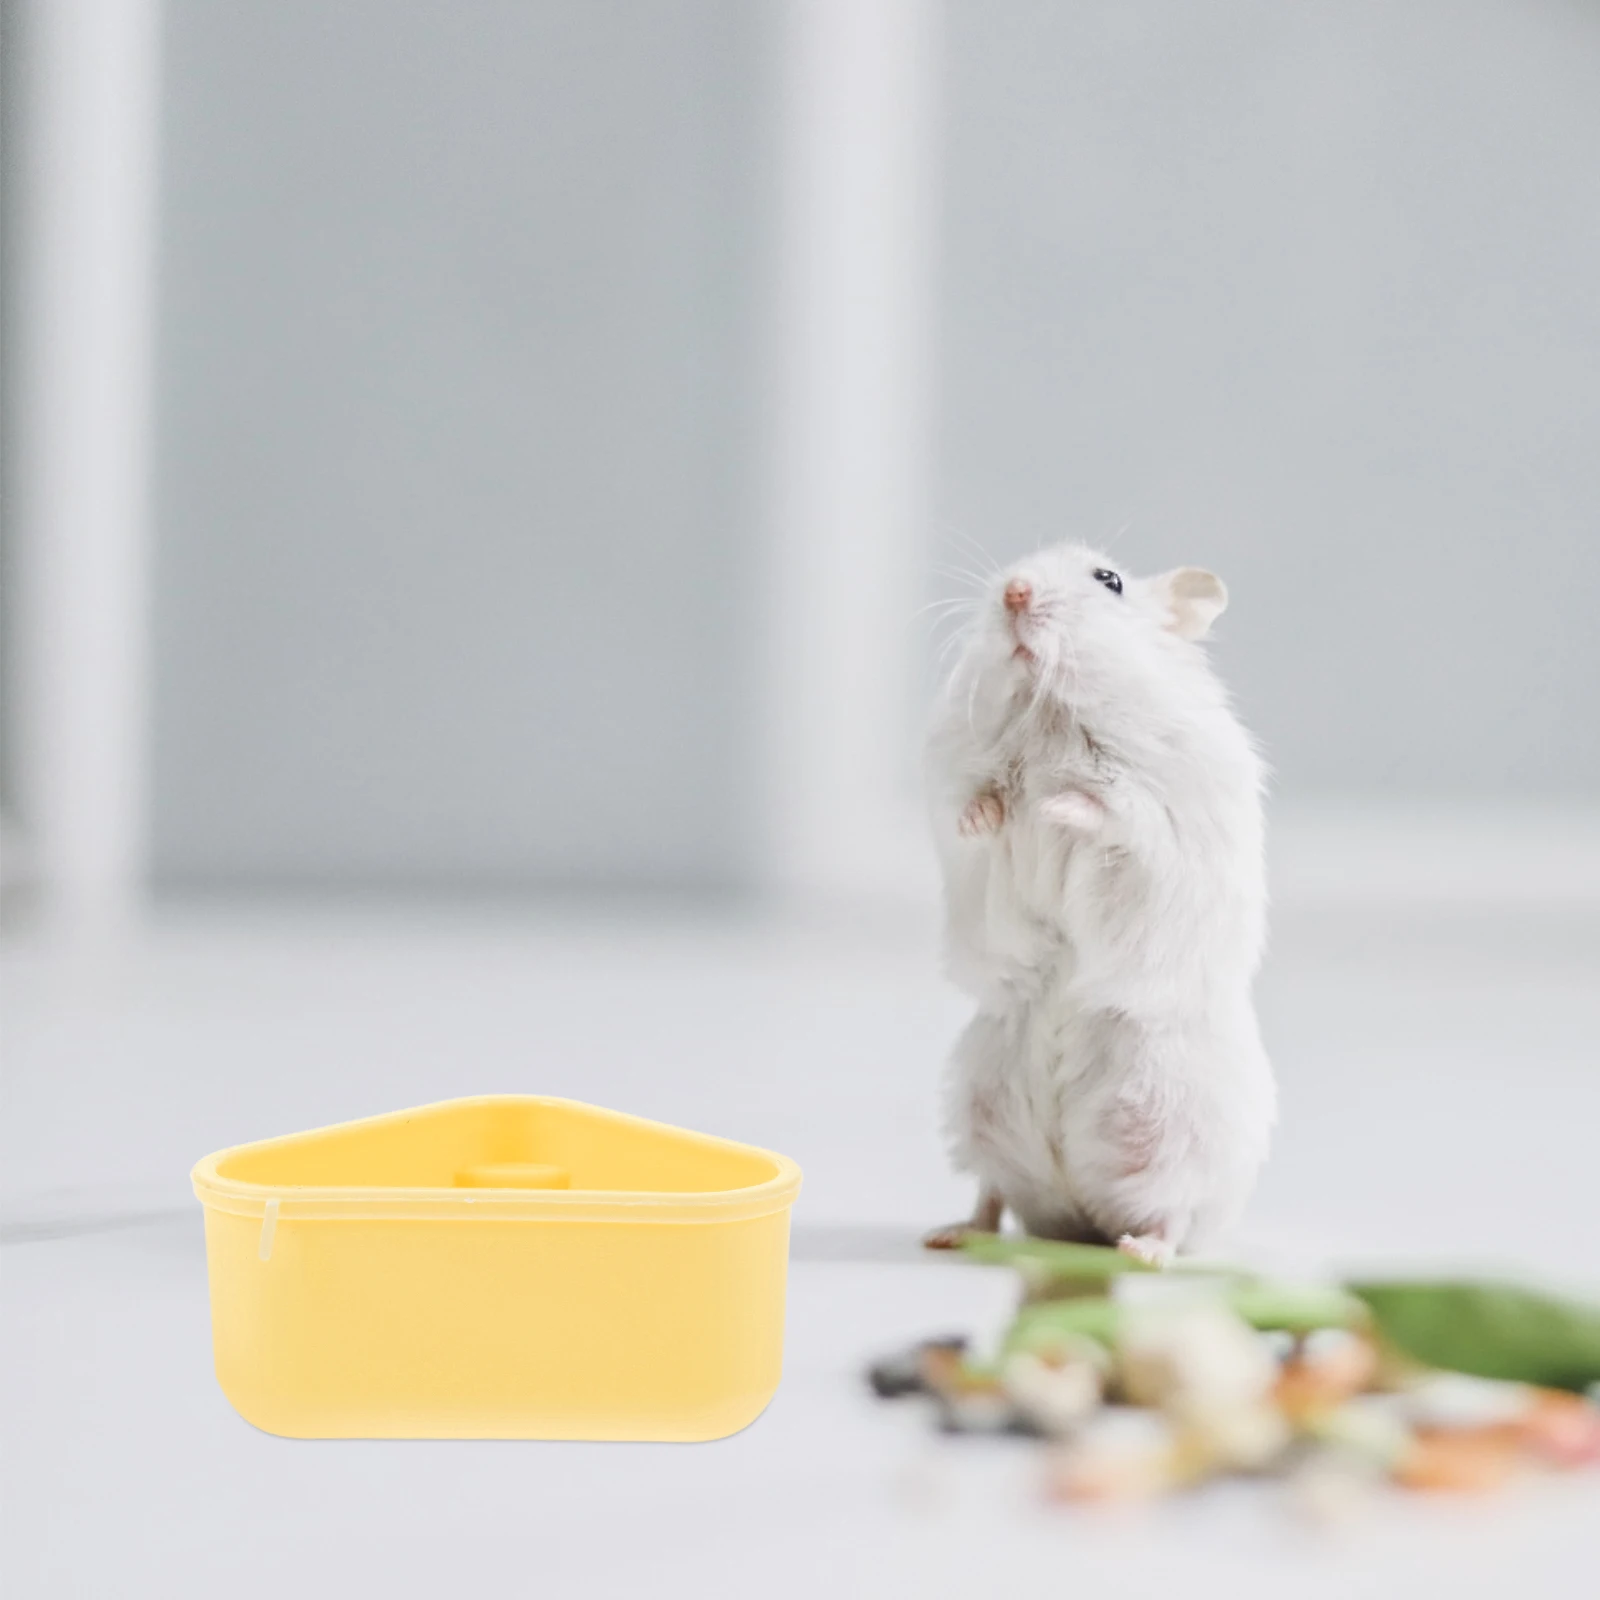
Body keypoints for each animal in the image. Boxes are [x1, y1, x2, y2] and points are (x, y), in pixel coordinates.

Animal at [923, 542, 1273, 1265]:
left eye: (1108, 580)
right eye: (1018, 565)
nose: (1015, 592)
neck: (1048, 705)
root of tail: (1080, 1213)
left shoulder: (1158, 807)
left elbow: (1111, 809)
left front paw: (1053, 804)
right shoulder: (954, 772)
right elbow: (972, 805)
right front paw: (993, 814)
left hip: (1181, 1127)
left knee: (1173, 1211)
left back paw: (1144, 1252)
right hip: (978, 1100)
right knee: (992, 1193)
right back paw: (949, 1234)